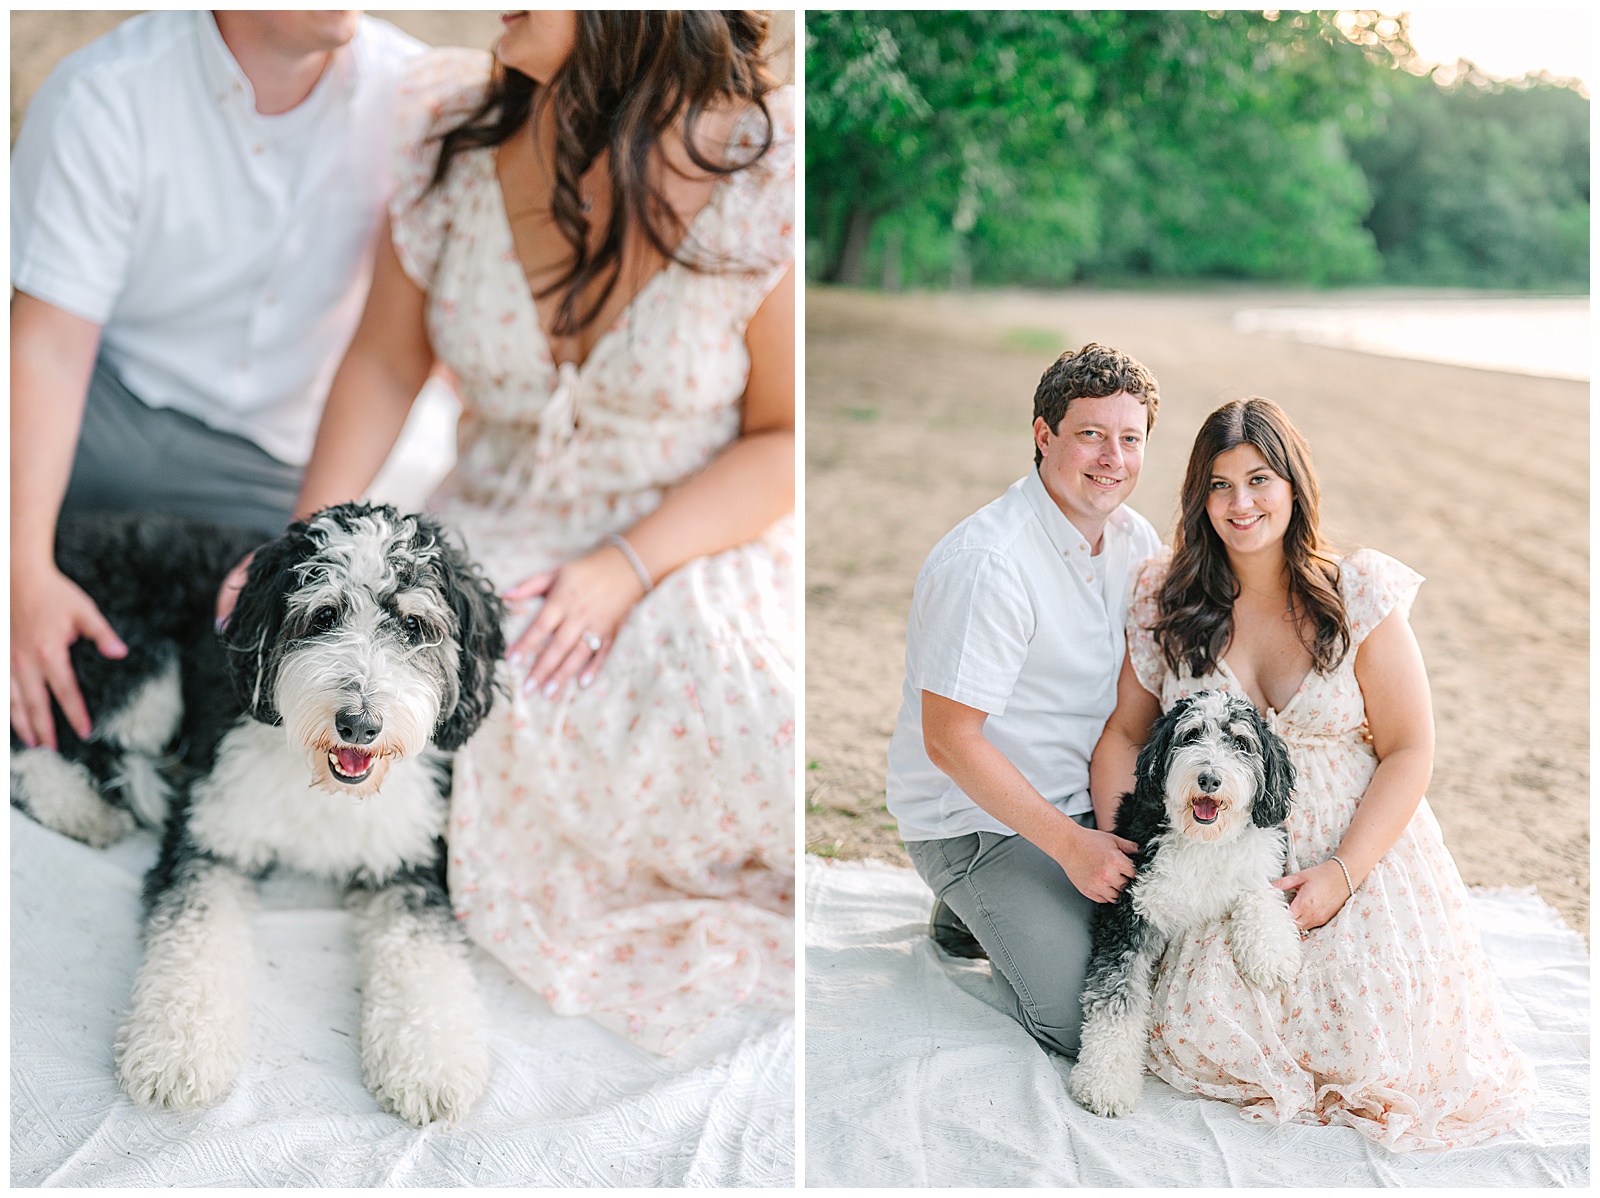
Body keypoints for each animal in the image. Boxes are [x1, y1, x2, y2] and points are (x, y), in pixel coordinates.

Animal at [9, 502, 502, 1119]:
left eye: (413, 626)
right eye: (323, 616)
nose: (358, 724)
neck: (322, 782)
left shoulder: (408, 860)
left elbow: (423, 952)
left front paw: (433, 1064)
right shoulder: (211, 836)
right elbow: (195, 938)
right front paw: (177, 1053)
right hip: (129, 666)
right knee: (38, 738)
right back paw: (78, 806)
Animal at [1068, 687, 1305, 1119]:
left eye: (1240, 743)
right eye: (1191, 734)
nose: (1209, 778)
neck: (1203, 841)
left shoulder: (1259, 859)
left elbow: (1259, 890)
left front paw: (1272, 952)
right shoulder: (1129, 913)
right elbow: (1116, 1001)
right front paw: (1105, 1084)